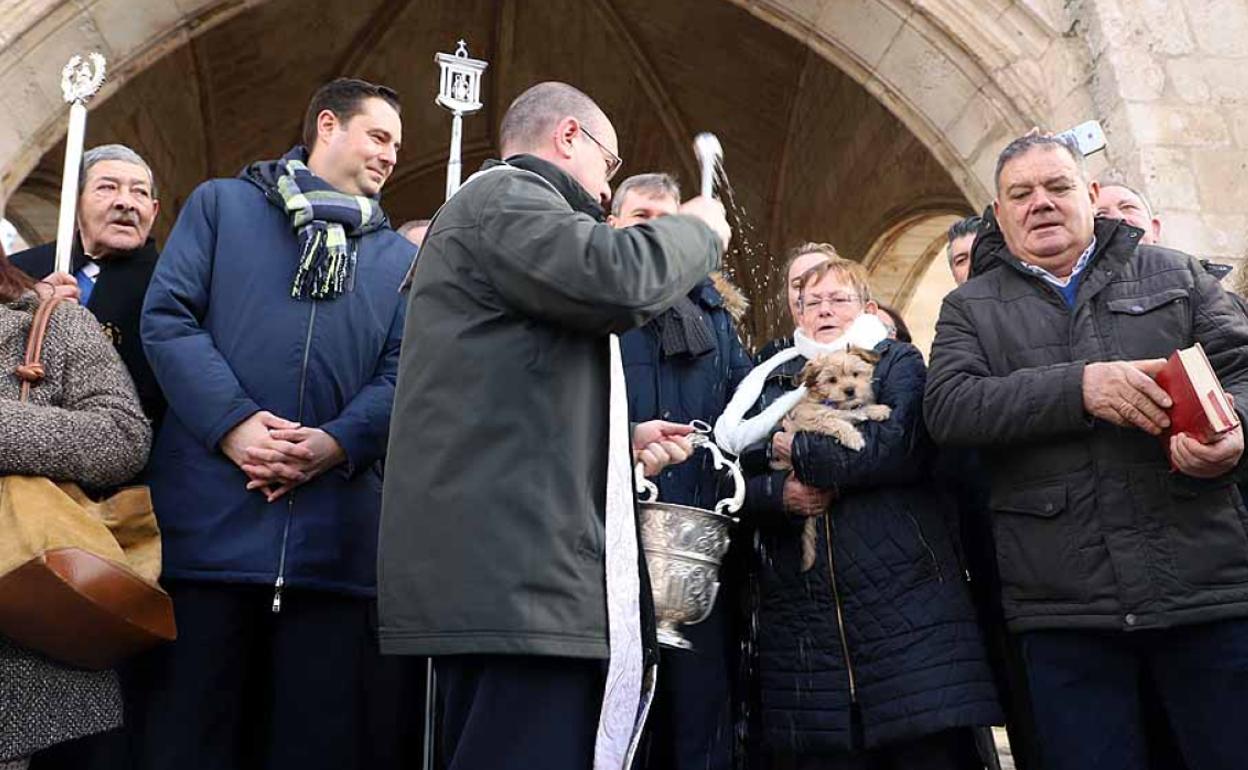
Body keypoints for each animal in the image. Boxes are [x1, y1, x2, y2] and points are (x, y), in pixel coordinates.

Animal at [778, 349, 888, 571]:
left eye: (855, 374)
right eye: (832, 380)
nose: (850, 390)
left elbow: (857, 409)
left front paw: (878, 410)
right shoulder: (809, 419)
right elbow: (833, 420)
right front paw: (853, 437)